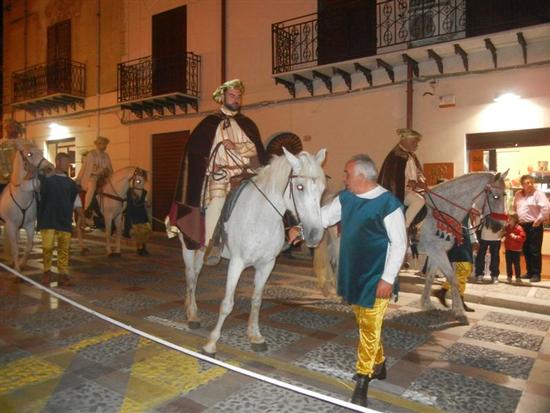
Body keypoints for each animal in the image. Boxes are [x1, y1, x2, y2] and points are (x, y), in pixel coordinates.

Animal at [0, 140, 53, 272]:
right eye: (29, 154)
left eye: (41, 152)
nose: (50, 168)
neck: (22, 195)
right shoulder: (11, 225)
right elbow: (15, 248)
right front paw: (17, 270)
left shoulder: (29, 225)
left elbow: (28, 246)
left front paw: (21, 263)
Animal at [178, 148, 328, 354]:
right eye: (299, 187)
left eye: (322, 189)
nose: (315, 234)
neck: (261, 218)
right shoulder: (237, 263)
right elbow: (227, 304)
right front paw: (211, 343)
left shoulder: (266, 265)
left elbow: (257, 300)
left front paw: (255, 336)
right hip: (190, 247)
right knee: (191, 277)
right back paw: (192, 315)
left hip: (201, 252)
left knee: (193, 276)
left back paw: (190, 309)